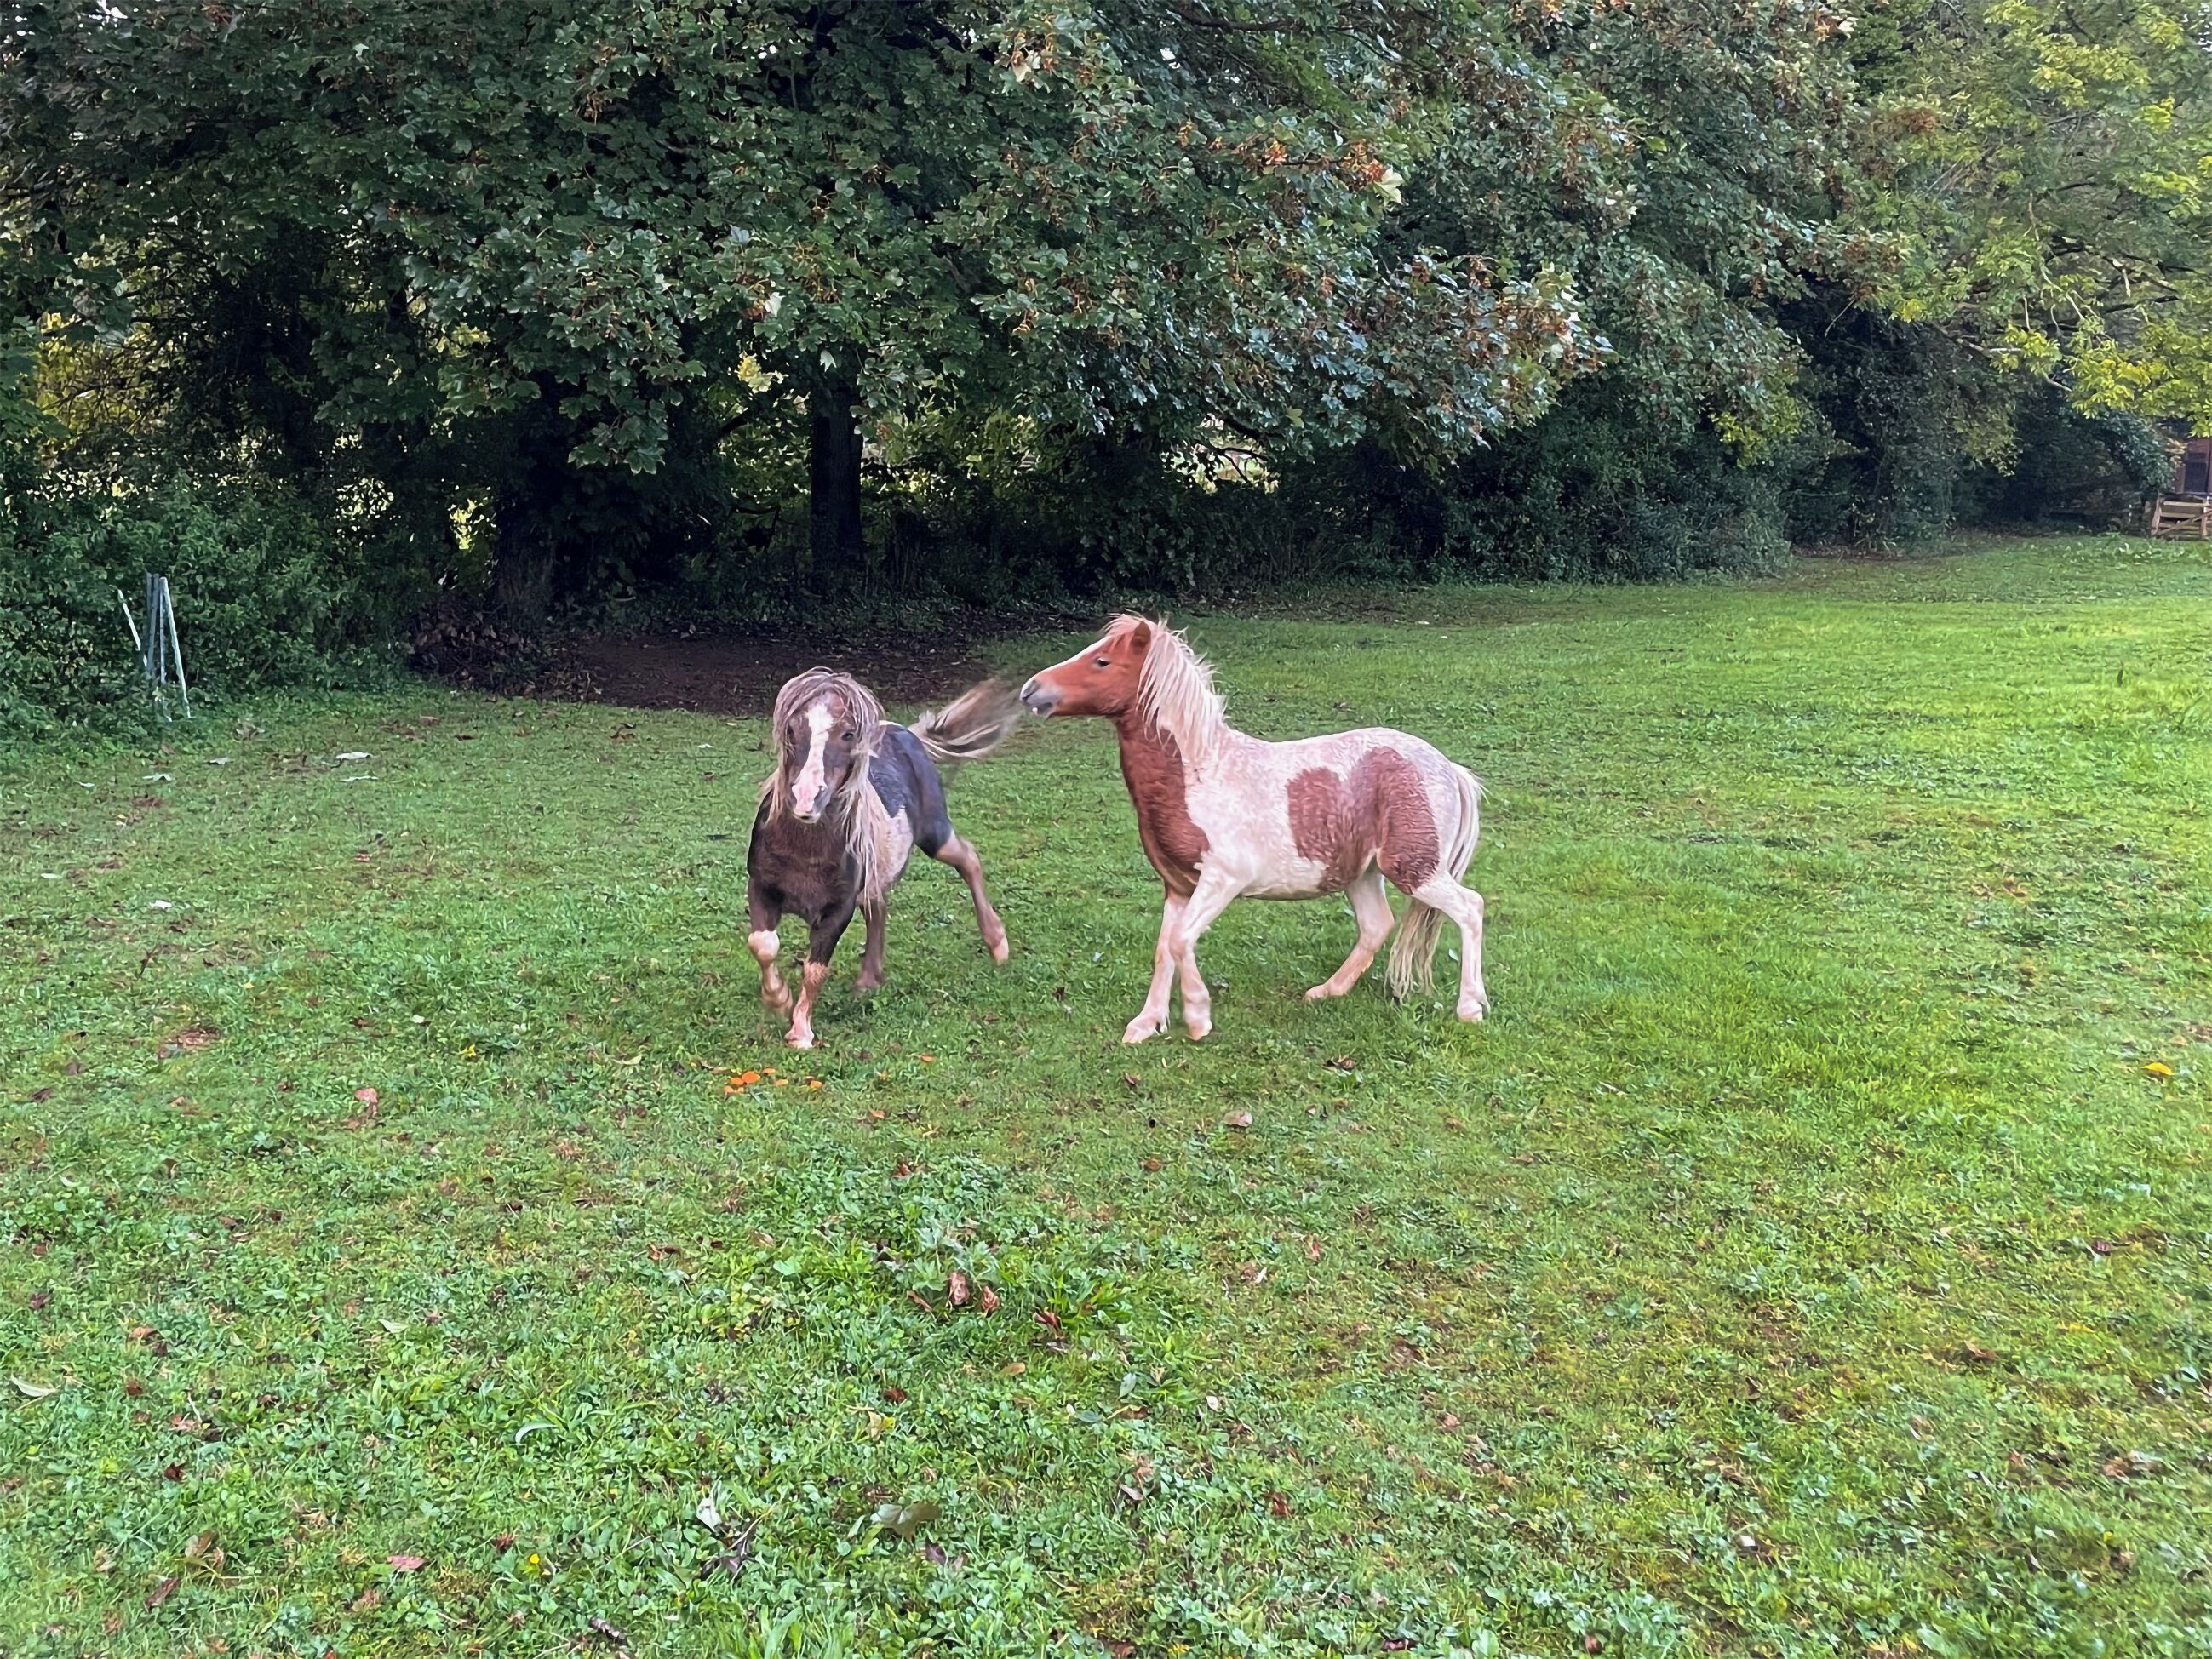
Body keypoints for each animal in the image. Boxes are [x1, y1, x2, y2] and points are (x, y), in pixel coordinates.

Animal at [747, 669, 1021, 1049]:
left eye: (848, 734)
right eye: (792, 729)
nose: (805, 798)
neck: (804, 848)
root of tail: (908, 733)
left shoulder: (839, 908)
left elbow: (815, 967)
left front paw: (800, 1031)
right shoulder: (761, 888)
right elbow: (764, 945)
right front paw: (778, 999)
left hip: (935, 835)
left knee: (968, 859)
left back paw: (997, 943)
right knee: (878, 905)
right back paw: (868, 980)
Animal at [1018, 616, 1487, 1043]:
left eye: (1101, 661)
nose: (1030, 691)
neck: (1199, 775)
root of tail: (1449, 768)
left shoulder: (1223, 880)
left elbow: (1180, 942)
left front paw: (1198, 1019)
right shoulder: (1178, 887)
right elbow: (1164, 949)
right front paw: (1146, 1024)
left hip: (1414, 869)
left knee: (1470, 908)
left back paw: (1470, 1008)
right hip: (1361, 873)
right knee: (1377, 926)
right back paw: (1324, 992)